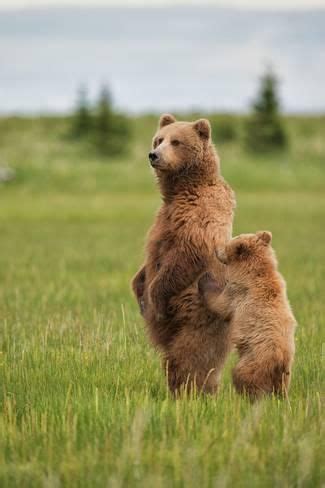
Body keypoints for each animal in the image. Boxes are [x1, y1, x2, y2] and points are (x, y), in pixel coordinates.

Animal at [132, 113, 235, 392]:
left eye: (176, 141)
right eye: (159, 139)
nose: (153, 155)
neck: (182, 189)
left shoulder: (200, 213)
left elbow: (187, 253)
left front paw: (154, 298)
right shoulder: (163, 218)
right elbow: (146, 263)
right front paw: (140, 293)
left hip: (198, 312)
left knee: (189, 358)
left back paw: (191, 391)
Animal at [197, 231, 296, 398]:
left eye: (227, 244)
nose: (216, 249)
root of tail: (280, 359)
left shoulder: (239, 292)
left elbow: (220, 303)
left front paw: (205, 277)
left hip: (253, 359)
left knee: (243, 376)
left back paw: (245, 396)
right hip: (284, 374)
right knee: (281, 388)